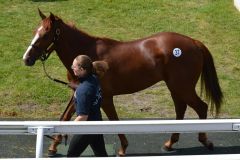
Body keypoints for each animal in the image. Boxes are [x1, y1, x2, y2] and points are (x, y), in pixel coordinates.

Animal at [22, 10, 223, 156]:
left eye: (45, 34)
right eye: (34, 32)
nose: (26, 59)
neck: (88, 54)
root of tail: (194, 42)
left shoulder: (105, 98)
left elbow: (113, 121)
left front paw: (123, 148)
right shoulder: (78, 93)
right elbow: (65, 118)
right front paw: (53, 147)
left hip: (182, 87)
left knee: (201, 107)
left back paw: (205, 141)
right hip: (175, 88)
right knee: (181, 109)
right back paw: (169, 143)